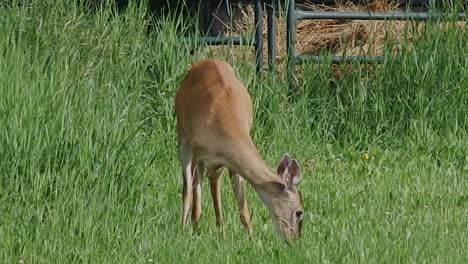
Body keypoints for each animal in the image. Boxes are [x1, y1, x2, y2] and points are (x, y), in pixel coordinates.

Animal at [176, 58, 304, 240]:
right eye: (299, 212)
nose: (295, 240)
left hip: (221, 164)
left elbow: (243, 208)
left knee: (215, 184)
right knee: (187, 188)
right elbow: (196, 204)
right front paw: (192, 233)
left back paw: (221, 229)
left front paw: (252, 239)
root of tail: (206, 61)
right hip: (182, 134)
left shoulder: (230, 163)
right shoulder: (198, 154)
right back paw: (185, 226)